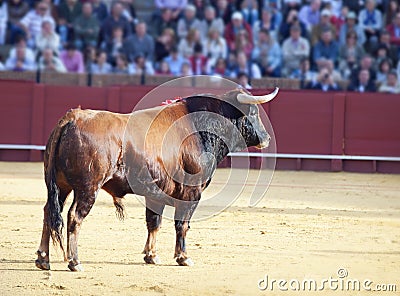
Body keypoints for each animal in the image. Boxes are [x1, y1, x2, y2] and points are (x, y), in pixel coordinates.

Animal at [35, 86, 278, 270]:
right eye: (253, 113)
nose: (266, 138)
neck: (201, 128)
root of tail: (72, 118)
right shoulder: (192, 192)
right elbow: (182, 224)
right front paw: (183, 257)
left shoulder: (156, 193)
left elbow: (154, 222)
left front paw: (151, 256)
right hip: (88, 188)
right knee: (74, 216)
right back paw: (74, 261)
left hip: (61, 186)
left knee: (49, 212)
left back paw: (43, 259)